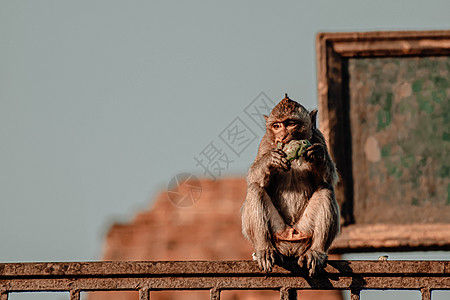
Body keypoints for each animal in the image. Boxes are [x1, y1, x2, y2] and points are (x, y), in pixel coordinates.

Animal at [241, 94, 340, 276]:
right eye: (277, 126)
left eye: (291, 123)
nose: (283, 136)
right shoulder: (266, 143)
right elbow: (255, 179)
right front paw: (270, 160)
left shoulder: (319, 138)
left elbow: (327, 179)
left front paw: (317, 155)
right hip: (277, 232)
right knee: (255, 189)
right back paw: (264, 249)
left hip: (304, 231)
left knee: (326, 190)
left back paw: (316, 252)